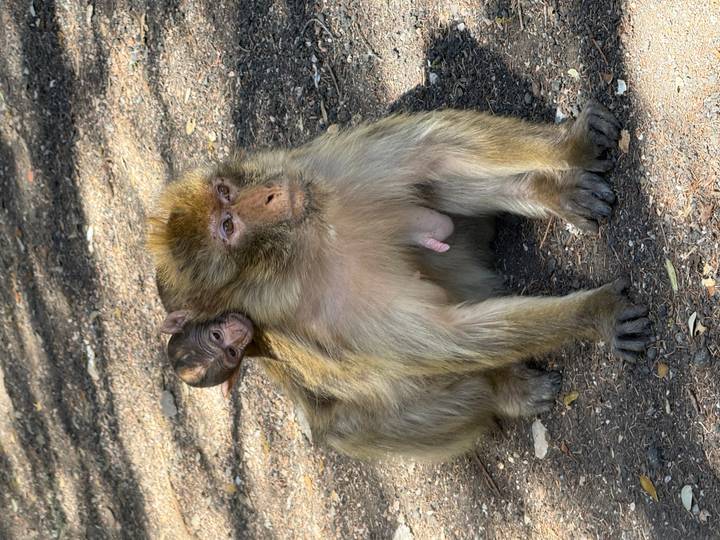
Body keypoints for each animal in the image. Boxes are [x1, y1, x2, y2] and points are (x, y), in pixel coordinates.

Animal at [147, 99, 651, 460]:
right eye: (227, 227)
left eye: (225, 194)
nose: (268, 196)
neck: (306, 243)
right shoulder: (328, 313)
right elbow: (451, 336)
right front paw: (595, 314)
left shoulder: (318, 168)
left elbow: (434, 151)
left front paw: (570, 146)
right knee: (348, 424)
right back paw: (503, 391)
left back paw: (549, 193)